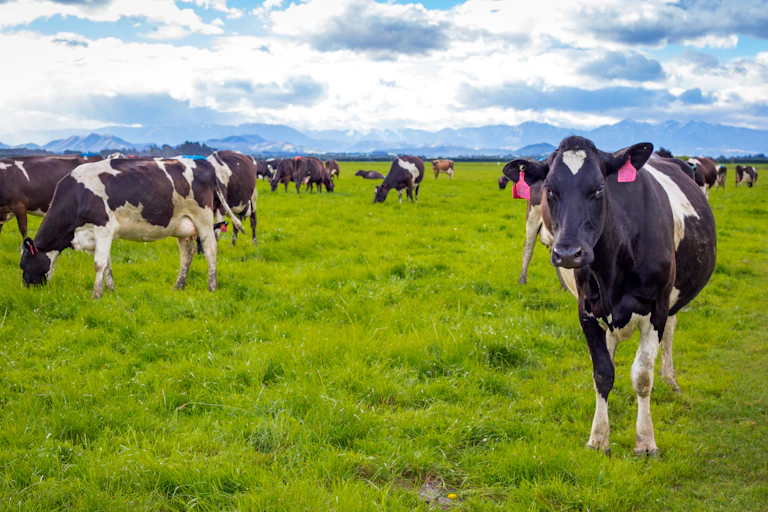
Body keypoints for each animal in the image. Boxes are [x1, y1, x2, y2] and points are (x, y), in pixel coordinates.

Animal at [19, 157, 244, 298]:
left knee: (210, 249)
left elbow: (99, 263)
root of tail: (203, 163)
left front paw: (96, 295)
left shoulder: (103, 226)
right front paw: (110, 291)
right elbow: (107, 263)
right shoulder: (101, 234)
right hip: (183, 225)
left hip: (203, 217)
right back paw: (178, 287)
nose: (26, 289)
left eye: (23, 265)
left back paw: (212, 287)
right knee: (187, 254)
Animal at [503, 136, 716, 456]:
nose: (568, 253)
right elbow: (603, 373)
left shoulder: (656, 309)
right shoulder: (587, 311)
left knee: (670, 333)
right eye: (550, 189)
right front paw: (598, 437)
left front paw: (645, 442)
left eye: (600, 188)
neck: (612, 265)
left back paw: (670, 380)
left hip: (672, 302)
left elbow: (642, 376)